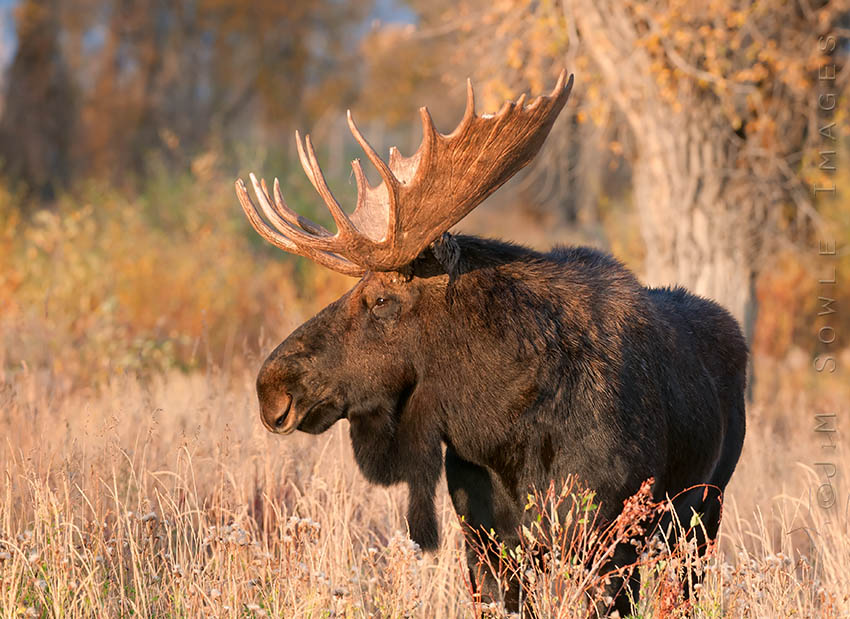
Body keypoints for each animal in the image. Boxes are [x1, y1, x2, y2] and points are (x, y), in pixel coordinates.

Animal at [234, 72, 744, 616]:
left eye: (380, 299)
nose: (272, 389)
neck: (501, 432)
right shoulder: (484, 542)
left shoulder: (607, 540)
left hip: (701, 516)